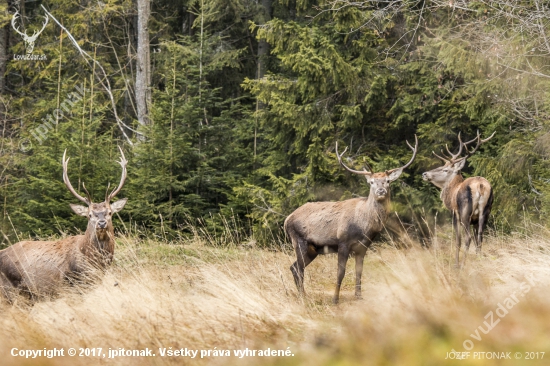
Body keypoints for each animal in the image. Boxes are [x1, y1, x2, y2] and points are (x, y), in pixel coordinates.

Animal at [284, 137, 418, 304]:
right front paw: (335, 299)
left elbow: (359, 271)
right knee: (298, 268)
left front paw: (358, 296)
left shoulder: (363, 247)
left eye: (387, 181)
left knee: (294, 267)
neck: (364, 226)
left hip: (312, 249)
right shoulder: (343, 242)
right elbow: (340, 272)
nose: (381, 191)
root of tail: (287, 219)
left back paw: (303, 295)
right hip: (299, 240)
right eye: (371, 182)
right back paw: (304, 297)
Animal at [424, 130, 498, 268]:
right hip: (485, 211)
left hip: (465, 211)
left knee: (467, 237)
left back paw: (462, 265)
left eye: (445, 169)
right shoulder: (475, 219)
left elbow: (457, 240)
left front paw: (455, 264)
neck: (452, 191)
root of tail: (480, 186)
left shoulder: (454, 213)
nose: (424, 174)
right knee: (480, 237)